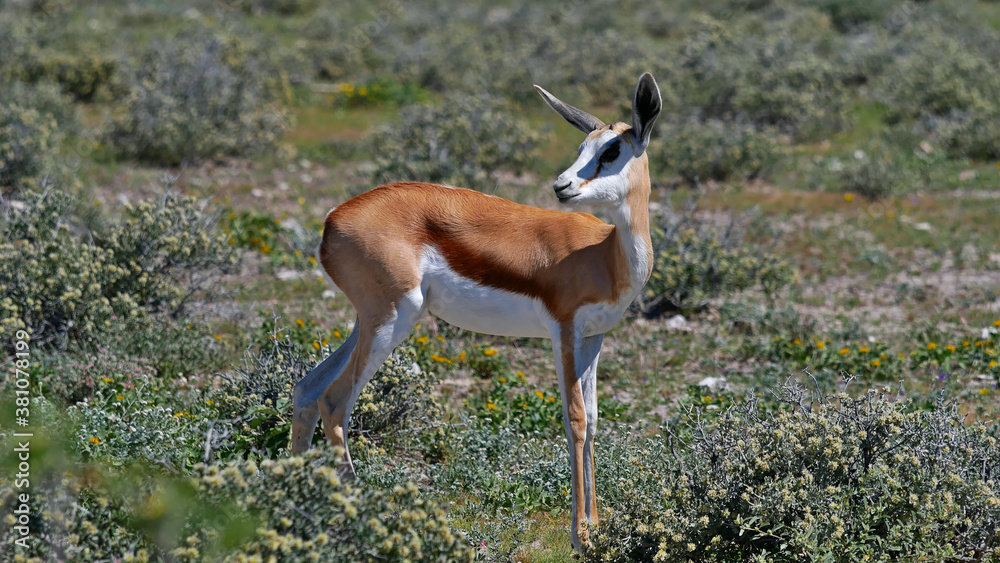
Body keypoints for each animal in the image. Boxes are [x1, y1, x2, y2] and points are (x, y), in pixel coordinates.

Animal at [291, 73, 661, 549]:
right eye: (584, 146)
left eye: (611, 150)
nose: (561, 187)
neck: (604, 255)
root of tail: (333, 218)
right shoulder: (563, 332)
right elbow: (575, 420)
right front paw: (580, 537)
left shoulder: (594, 338)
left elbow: (595, 421)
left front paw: (596, 528)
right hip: (393, 319)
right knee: (336, 401)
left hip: (369, 320)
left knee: (308, 388)